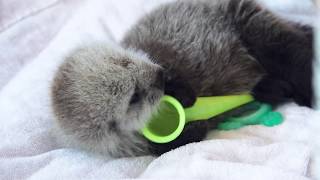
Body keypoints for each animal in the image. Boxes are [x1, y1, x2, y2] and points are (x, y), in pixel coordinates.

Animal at [51, 0, 314, 157]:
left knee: (295, 47)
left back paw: (305, 92)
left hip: (254, 27)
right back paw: (271, 88)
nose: (158, 76)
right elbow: (170, 145)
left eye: (126, 61)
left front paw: (178, 89)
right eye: (133, 97)